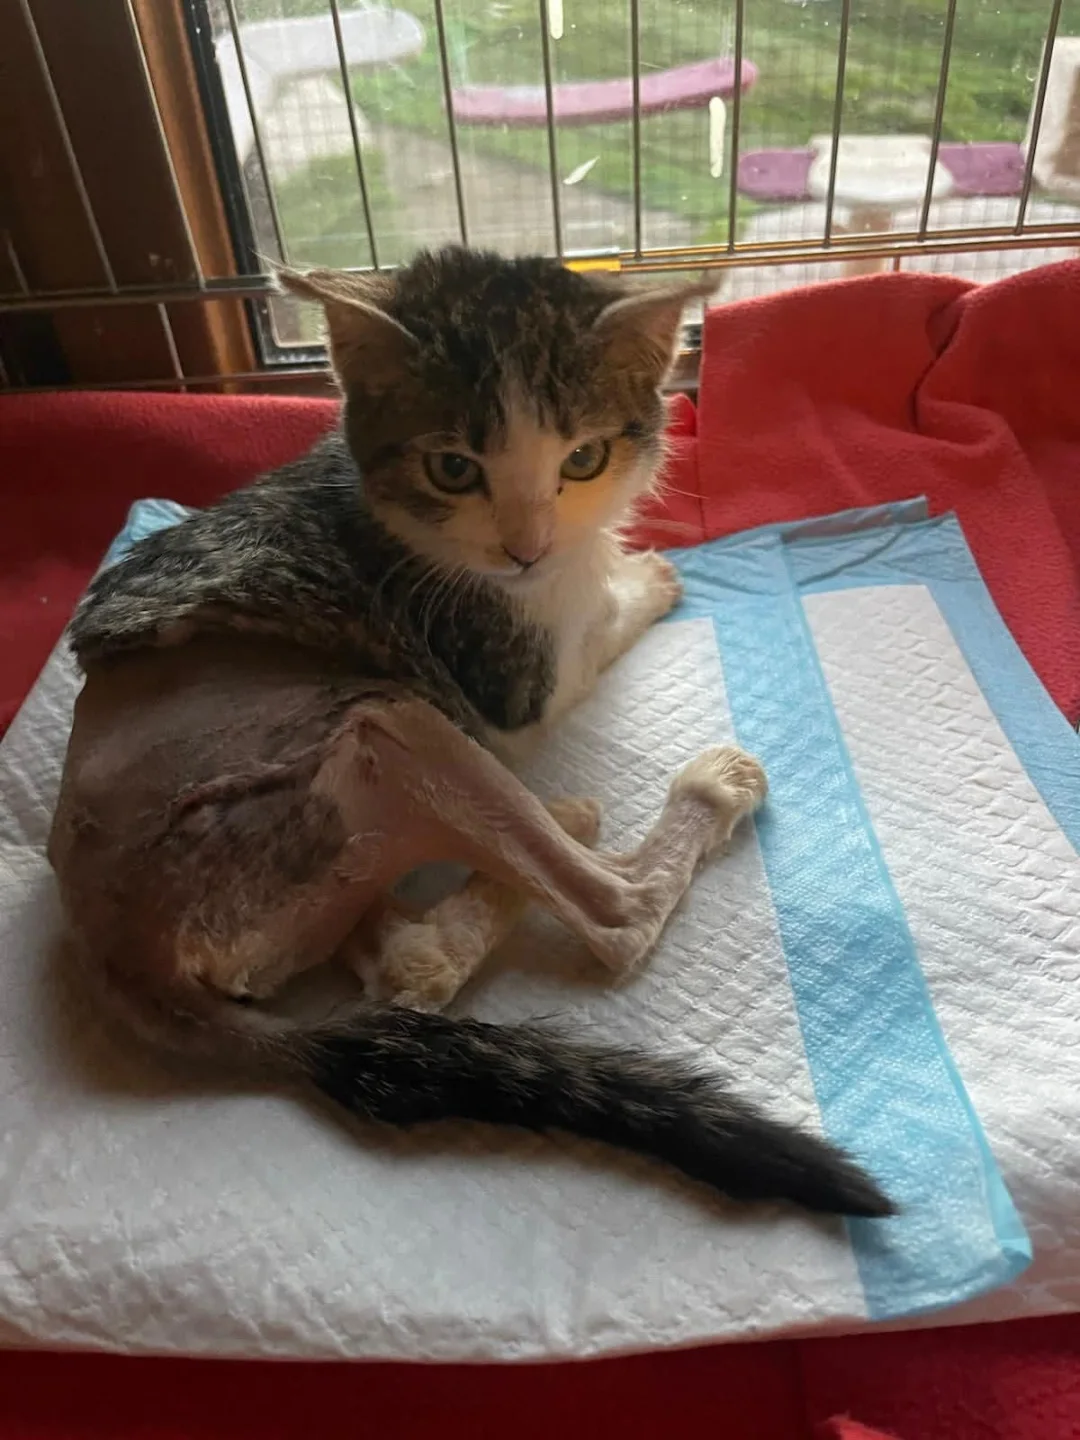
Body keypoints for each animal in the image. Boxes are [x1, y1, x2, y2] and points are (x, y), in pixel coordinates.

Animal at [49, 247, 891, 1218]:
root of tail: (126, 962)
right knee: (604, 919)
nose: (527, 548)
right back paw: (674, 801)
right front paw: (648, 579)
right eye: (454, 469)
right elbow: (591, 630)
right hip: (386, 728)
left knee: (408, 964)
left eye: (583, 459)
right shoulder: (511, 681)